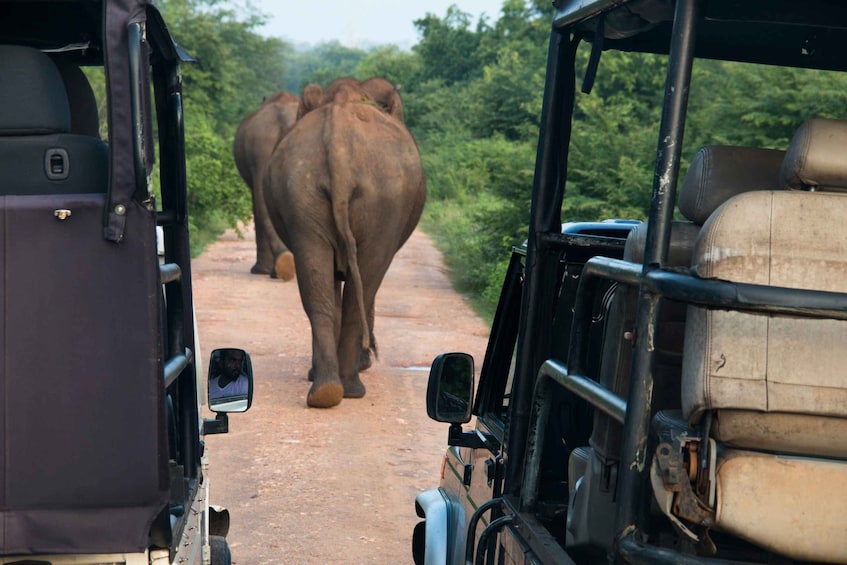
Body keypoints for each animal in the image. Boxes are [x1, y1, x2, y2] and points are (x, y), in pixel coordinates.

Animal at [264, 77, 424, 408]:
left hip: (303, 190)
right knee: (365, 282)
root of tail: (337, 141)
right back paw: (350, 387)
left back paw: (325, 390)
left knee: (318, 288)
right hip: (383, 203)